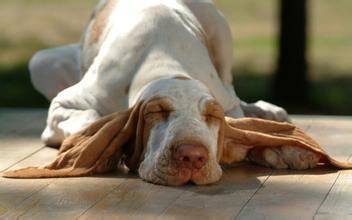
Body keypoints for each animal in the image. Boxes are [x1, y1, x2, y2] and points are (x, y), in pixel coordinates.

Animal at [26, 0, 320, 186]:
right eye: (156, 112)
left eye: (211, 116)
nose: (192, 156)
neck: (163, 64)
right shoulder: (68, 102)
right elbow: (89, 119)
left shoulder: (226, 105)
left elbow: (244, 130)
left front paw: (283, 150)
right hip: (41, 63)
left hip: (219, 31)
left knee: (233, 87)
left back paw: (268, 112)